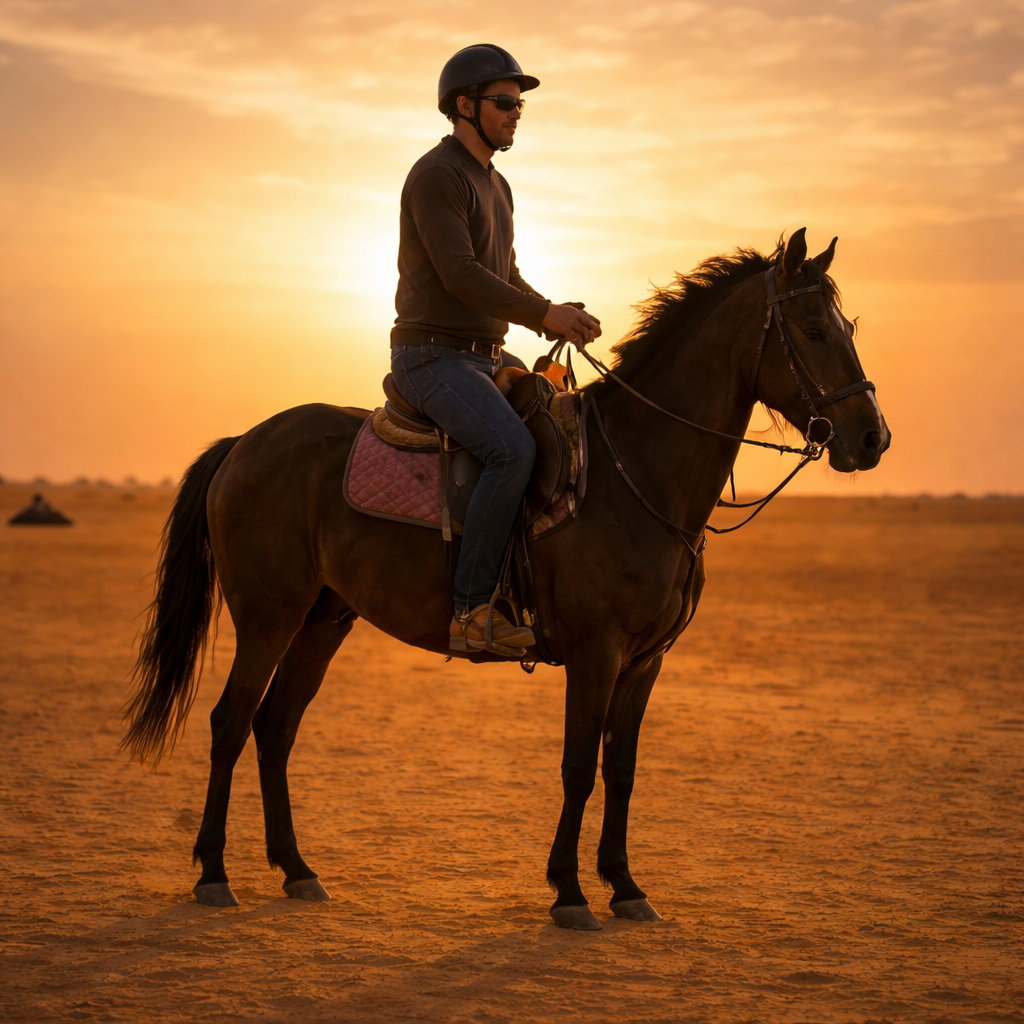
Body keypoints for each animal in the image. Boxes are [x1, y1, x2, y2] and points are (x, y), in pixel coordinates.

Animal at [123, 229, 890, 930]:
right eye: (813, 330)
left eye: (848, 327)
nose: (872, 438)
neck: (634, 473)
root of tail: (244, 444)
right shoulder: (595, 654)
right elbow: (578, 766)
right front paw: (571, 892)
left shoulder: (646, 662)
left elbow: (621, 769)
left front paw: (626, 887)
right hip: (268, 616)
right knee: (230, 722)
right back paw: (214, 874)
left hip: (323, 619)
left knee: (275, 726)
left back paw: (297, 870)